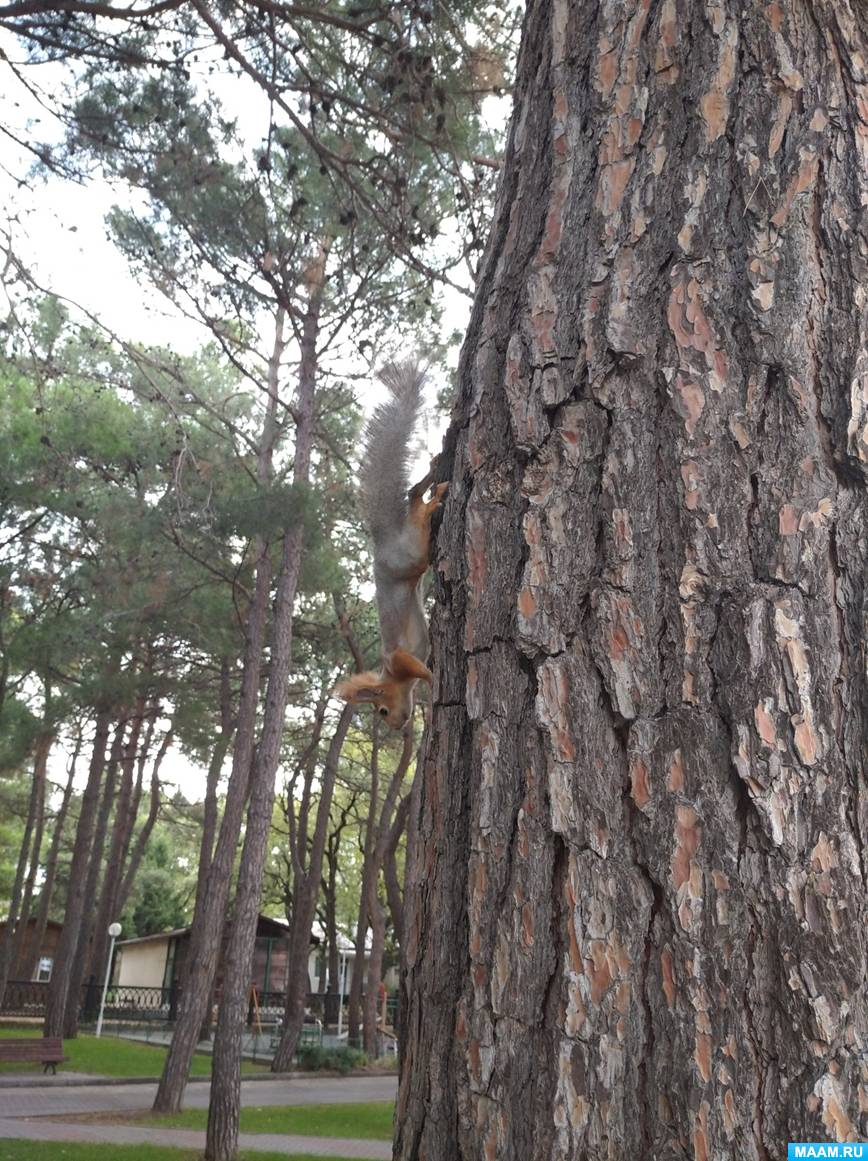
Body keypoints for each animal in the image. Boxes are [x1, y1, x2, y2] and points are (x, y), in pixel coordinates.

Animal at [336, 357, 447, 729]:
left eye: (381, 710)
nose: (397, 726)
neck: (391, 676)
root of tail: (383, 543)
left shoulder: (397, 658)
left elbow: (417, 668)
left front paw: (432, 679)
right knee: (412, 494)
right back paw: (431, 479)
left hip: (407, 556)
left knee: (417, 514)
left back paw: (431, 501)